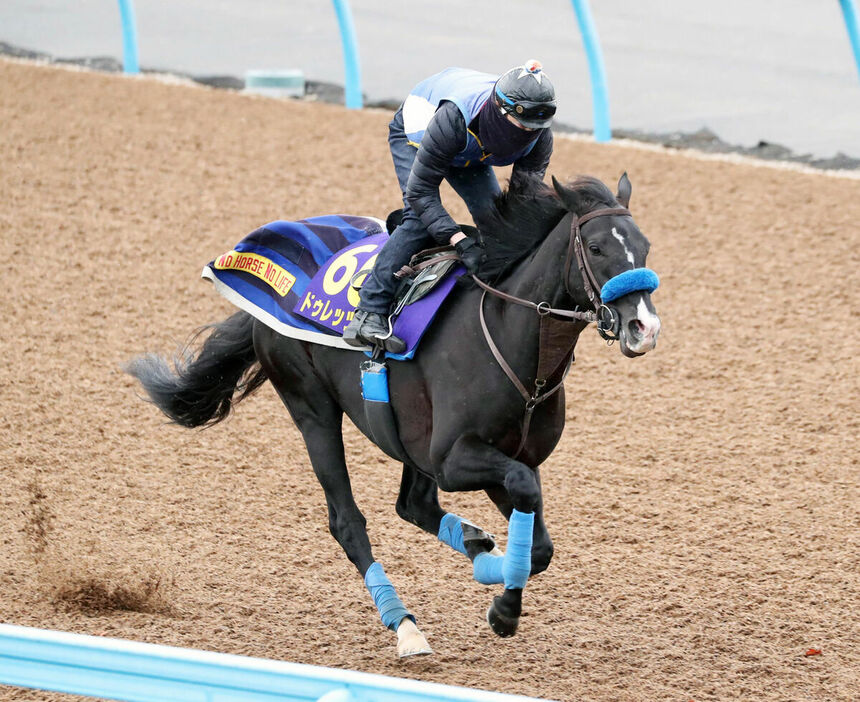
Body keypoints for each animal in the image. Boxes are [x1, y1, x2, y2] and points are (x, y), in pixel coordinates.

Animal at [126, 173, 660, 656]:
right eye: (596, 247)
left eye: (645, 246)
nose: (644, 327)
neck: (513, 340)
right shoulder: (454, 459)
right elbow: (524, 498)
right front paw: (504, 610)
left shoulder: (503, 455)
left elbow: (538, 540)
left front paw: (497, 586)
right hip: (312, 408)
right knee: (347, 522)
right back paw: (405, 624)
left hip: (407, 438)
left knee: (413, 504)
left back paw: (475, 546)